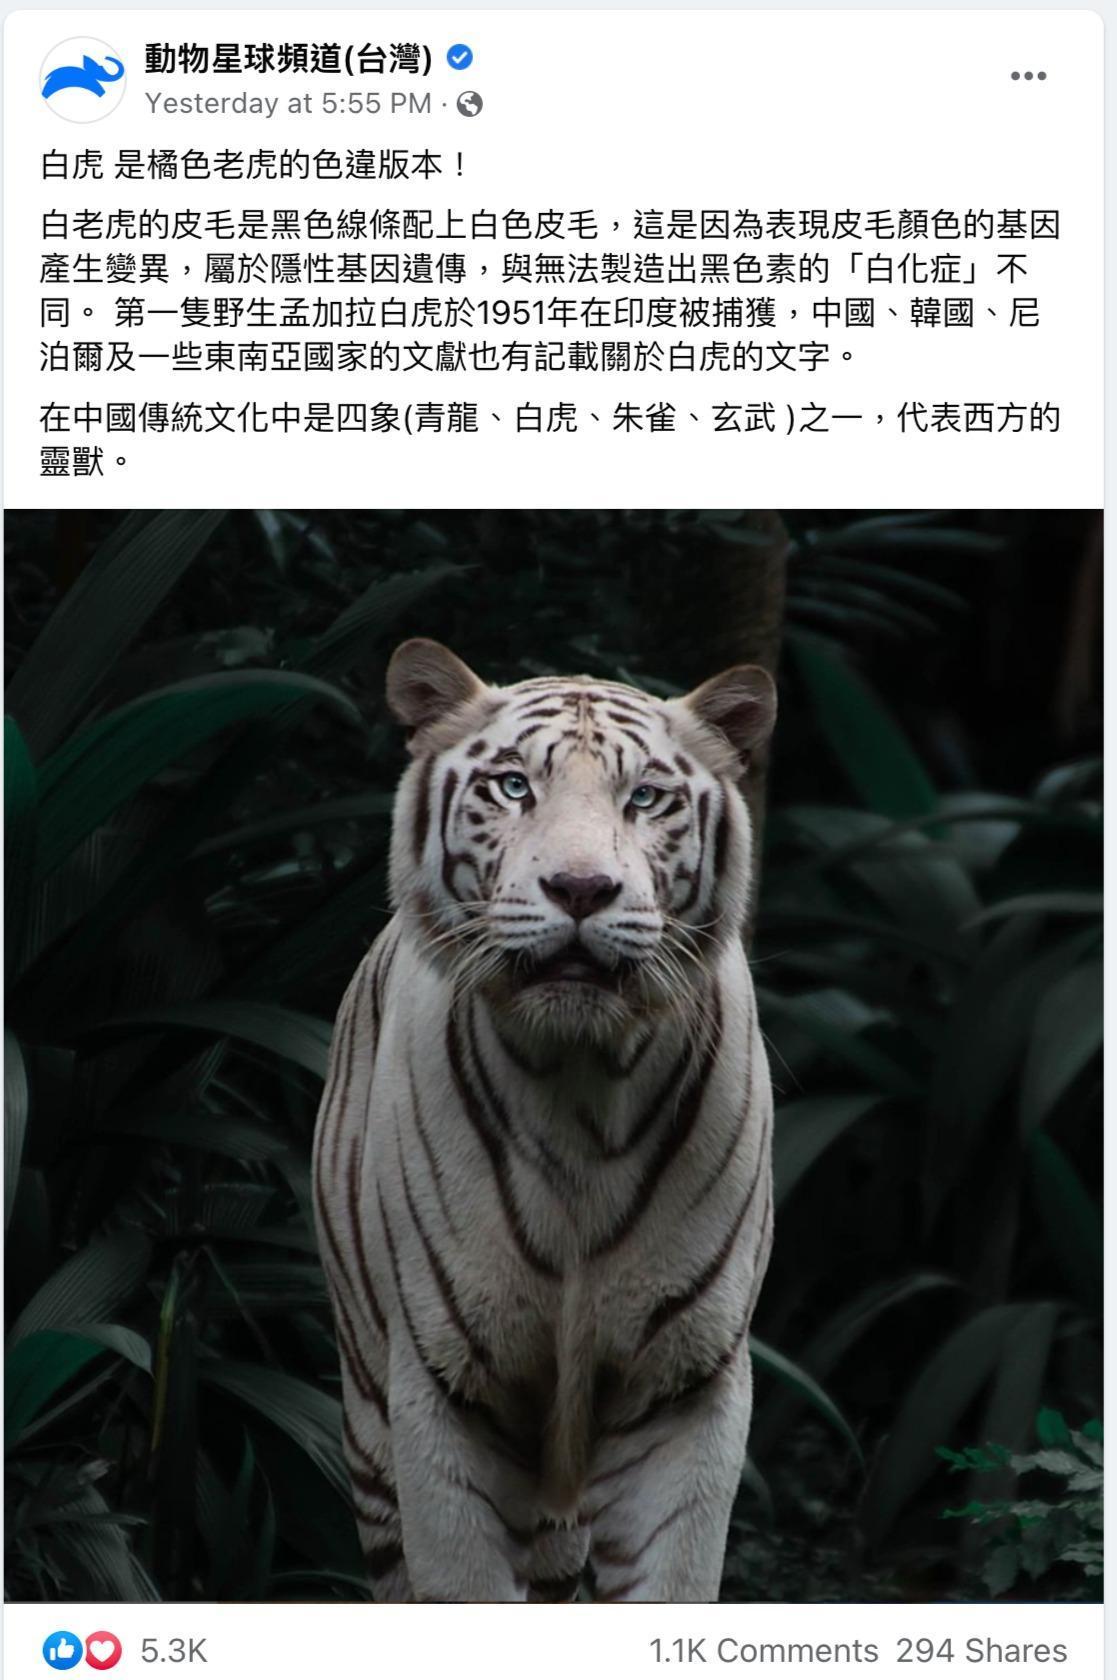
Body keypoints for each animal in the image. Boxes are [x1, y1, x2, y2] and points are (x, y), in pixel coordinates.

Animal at [312, 638, 777, 1604]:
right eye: (513, 786)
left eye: (645, 797)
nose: (580, 888)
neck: (581, 1090)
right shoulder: (442, 1389)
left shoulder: (687, 1387)